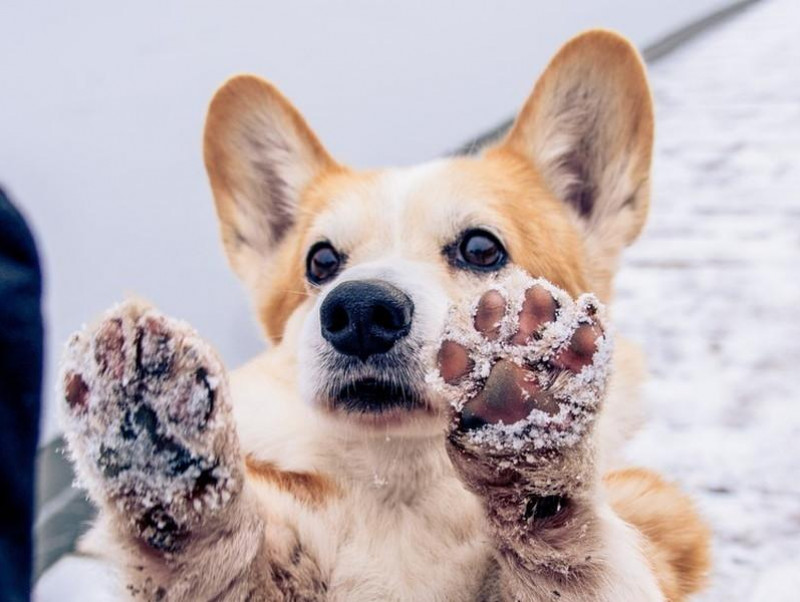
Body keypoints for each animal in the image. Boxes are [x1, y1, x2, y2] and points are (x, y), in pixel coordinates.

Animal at [64, 29, 712, 600]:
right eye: (321, 260)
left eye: (482, 248)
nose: (359, 311)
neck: (401, 488)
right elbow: (221, 562)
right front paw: (158, 437)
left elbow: (573, 551)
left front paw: (526, 410)